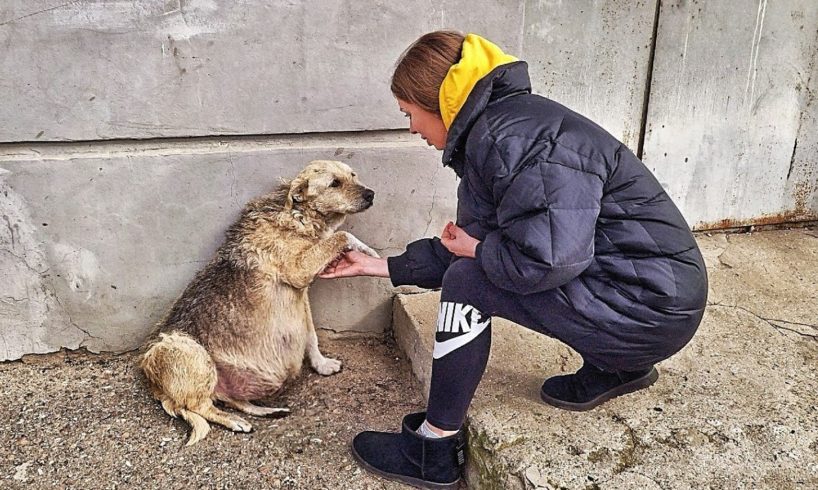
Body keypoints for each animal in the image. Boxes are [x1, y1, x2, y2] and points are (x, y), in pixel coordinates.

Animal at [139, 160, 380, 444]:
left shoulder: (302, 295)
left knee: (230, 400)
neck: (297, 214)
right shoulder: (299, 271)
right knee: (200, 406)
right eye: (334, 183)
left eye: (353, 175)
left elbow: (311, 335)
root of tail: (154, 384)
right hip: (188, 351)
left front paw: (321, 364)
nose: (371, 194)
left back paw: (267, 411)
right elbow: (342, 236)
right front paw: (369, 251)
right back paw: (234, 421)